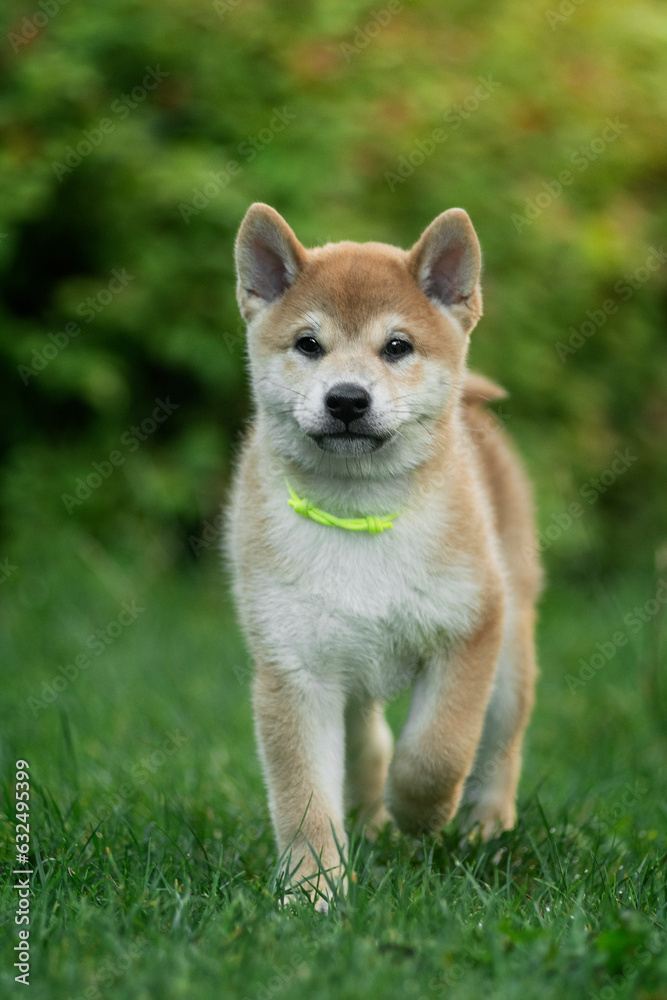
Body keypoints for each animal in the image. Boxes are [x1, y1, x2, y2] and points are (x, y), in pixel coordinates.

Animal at [227, 203, 540, 916]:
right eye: (308, 344)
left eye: (397, 346)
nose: (346, 399)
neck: (357, 513)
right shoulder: (294, 668)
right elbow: (305, 797)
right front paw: (313, 888)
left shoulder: (468, 628)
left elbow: (437, 752)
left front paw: (419, 814)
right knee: (369, 741)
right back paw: (369, 821)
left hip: (510, 648)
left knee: (499, 747)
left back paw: (484, 828)